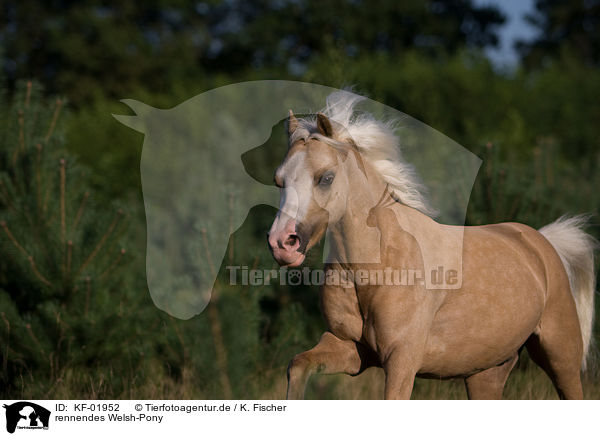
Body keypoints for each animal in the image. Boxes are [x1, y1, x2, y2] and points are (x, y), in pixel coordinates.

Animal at [268, 91, 596, 398]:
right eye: (279, 181)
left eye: (325, 177)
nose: (282, 243)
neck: (373, 266)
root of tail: (541, 242)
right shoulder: (349, 348)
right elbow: (298, 365)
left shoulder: (402, 359)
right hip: (487, 373)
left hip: (560, 355)